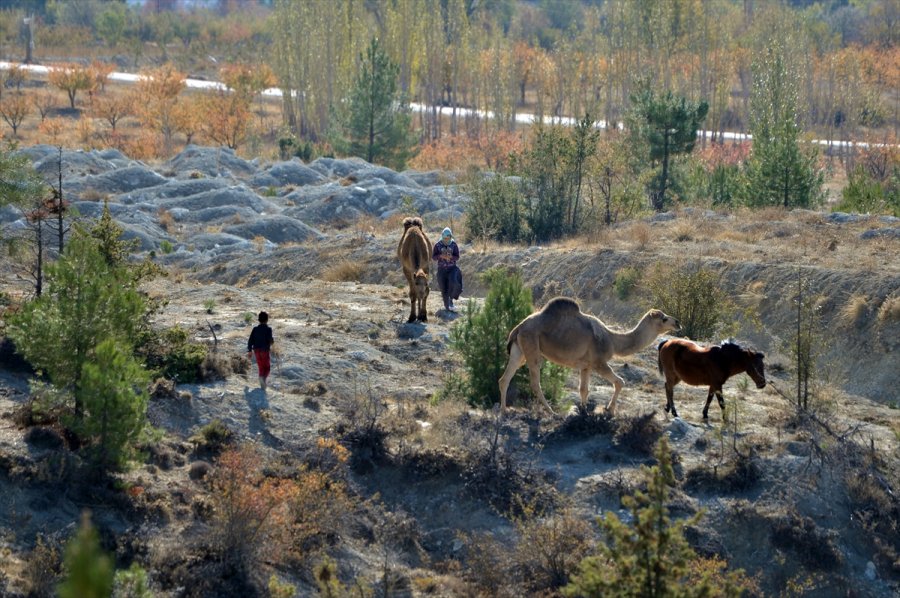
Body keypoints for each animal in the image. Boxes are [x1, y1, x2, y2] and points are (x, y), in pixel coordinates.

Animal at [496, 300, 680, 418]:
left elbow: (583, 389)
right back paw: (552, 412)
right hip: (532, 346)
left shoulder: (586, 366)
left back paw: (504, 411)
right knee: (535, 383)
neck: (612, 339)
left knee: (504, 378)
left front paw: (583, 411)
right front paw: (609, 409)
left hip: (519, 350)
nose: (677, 322)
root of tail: (518, 328)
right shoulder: (599, 363)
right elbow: (620, 381)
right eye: (663, 318)